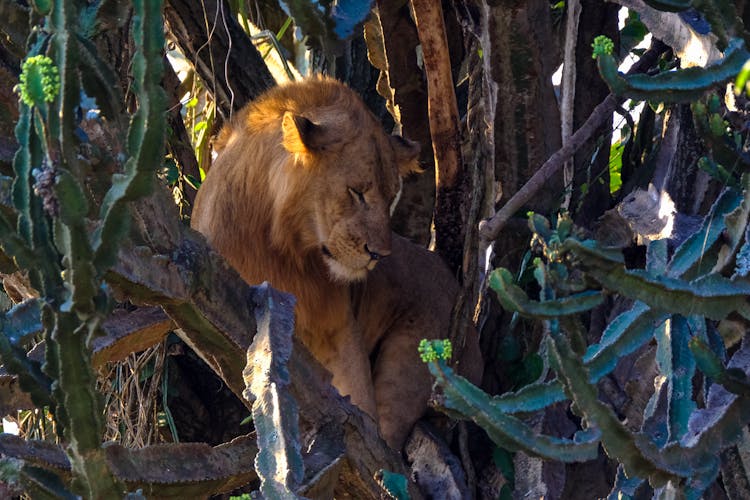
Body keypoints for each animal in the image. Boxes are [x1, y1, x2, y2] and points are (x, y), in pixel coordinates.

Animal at [191, 78, 484, 450]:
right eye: (356, 192)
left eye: (391, 197)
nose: (379, 255)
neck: (281, 246)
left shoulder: (336, 325)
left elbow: (360, 402)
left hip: (413, 353)